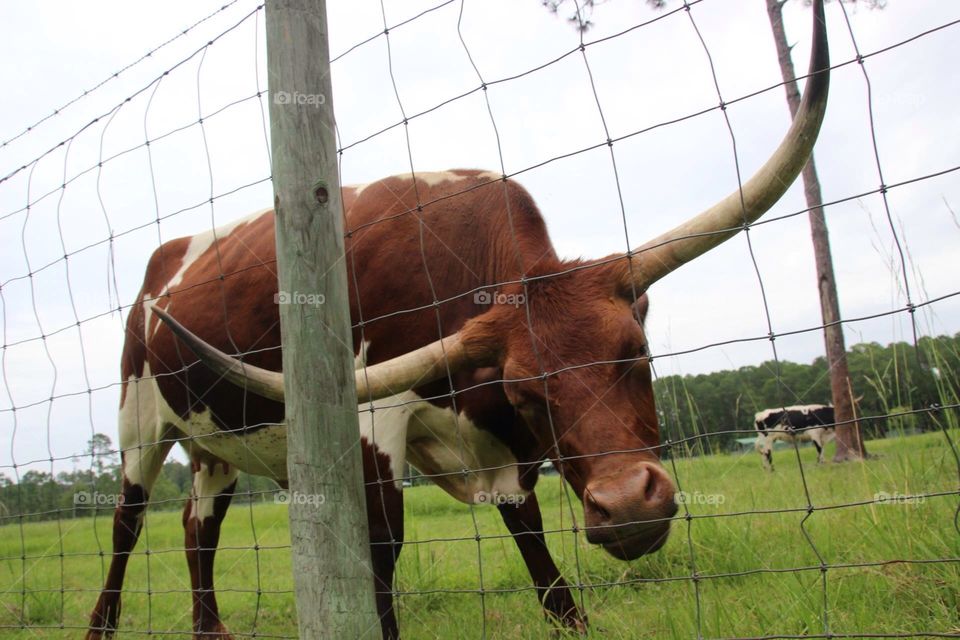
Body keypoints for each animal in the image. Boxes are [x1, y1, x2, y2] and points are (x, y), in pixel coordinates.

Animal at [86, 3, 829, 638]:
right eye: (528, 392)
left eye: (638, 355)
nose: (628, 508)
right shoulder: (374, 419)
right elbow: (382, 547)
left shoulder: (510, 456)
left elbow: (535, 545)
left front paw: (571, 618)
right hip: (137, 420)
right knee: (126, 523)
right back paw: (102, 622)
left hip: (213, 443)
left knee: (197, 526)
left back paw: (210, 628)